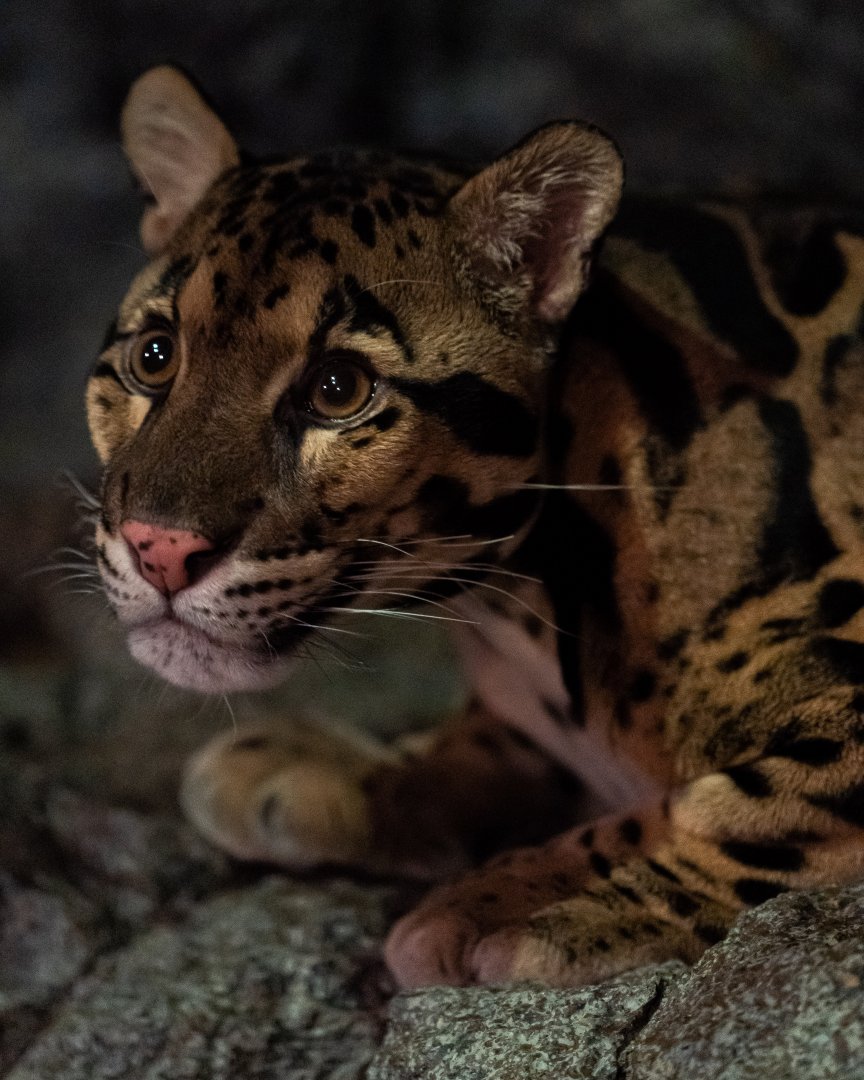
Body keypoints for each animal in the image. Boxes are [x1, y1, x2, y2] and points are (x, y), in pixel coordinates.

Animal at [86, 64, 864, 989]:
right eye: (155, 356)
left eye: (338, 389)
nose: (158, 547)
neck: (519, 604)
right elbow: (493, 749)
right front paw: (337, 772)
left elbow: (739, 808)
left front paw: (527, 900)